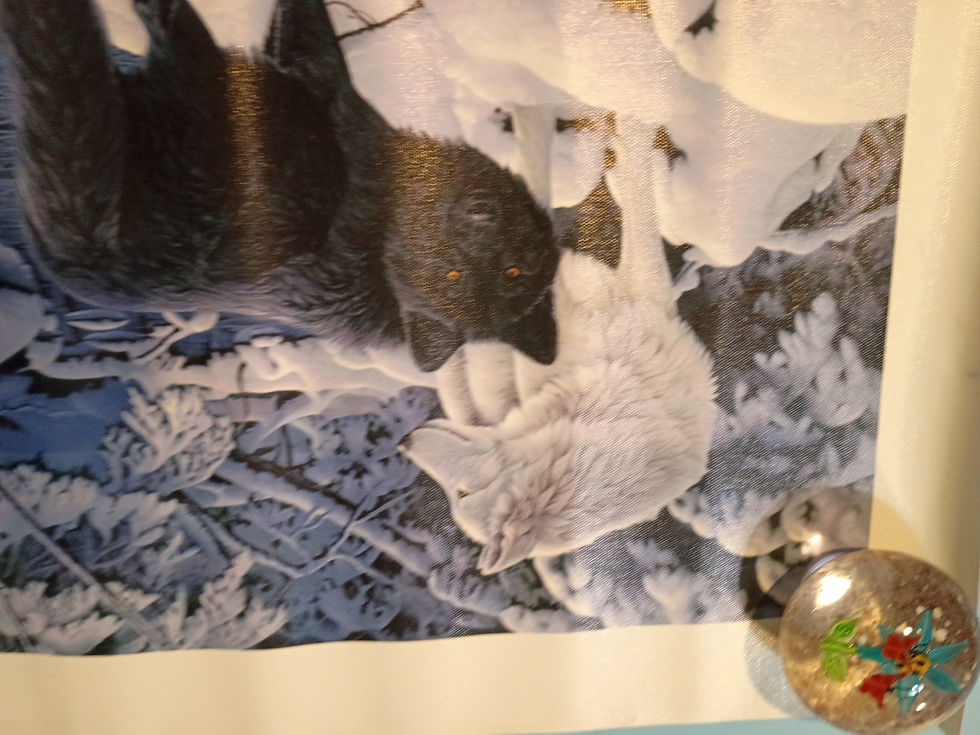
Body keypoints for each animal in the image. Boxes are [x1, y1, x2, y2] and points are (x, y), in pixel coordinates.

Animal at [0, 0, 559, 371]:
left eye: (452, 275)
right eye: (512, 270)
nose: (480, 214)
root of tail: (82, 260)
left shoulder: (328, 95)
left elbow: (317, 47)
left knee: (179, 39)